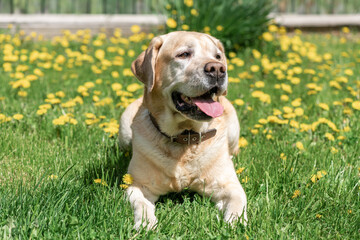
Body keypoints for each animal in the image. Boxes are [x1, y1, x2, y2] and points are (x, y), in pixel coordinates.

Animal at [118, 31, 248, 230]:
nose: (218, 69)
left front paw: (234, 223)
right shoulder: (138, 185)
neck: (185, 136)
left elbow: (238, 201)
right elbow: (141, 203)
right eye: (184, 54)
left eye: (218, 57)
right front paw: (147, 223)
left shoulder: (229, 185)